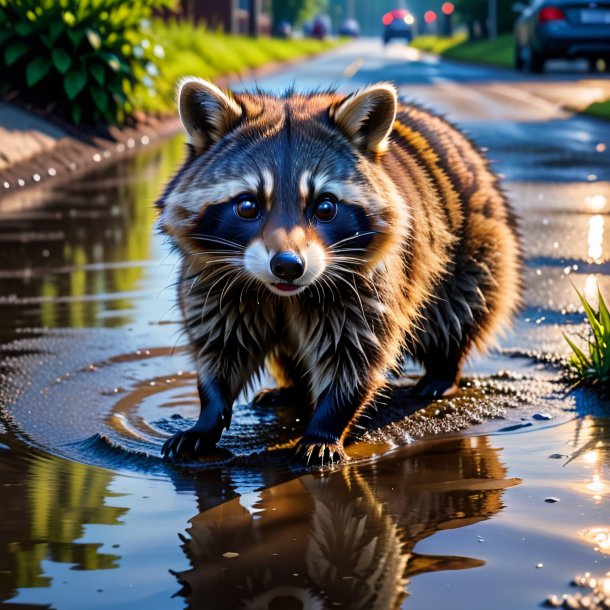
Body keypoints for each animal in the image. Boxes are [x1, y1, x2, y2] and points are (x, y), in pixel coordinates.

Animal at [157, 78, 516, 464]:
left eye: (325, 207)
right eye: (248, 205)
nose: (287, 266)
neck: (284, 293)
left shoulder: (372, 286)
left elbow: (355, 356)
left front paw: (326, 424)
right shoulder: (211, 282)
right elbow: (220, 347)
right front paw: (207, 414)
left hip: (474, 247)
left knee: (459, 308)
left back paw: (444, 367)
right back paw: (291, 387)